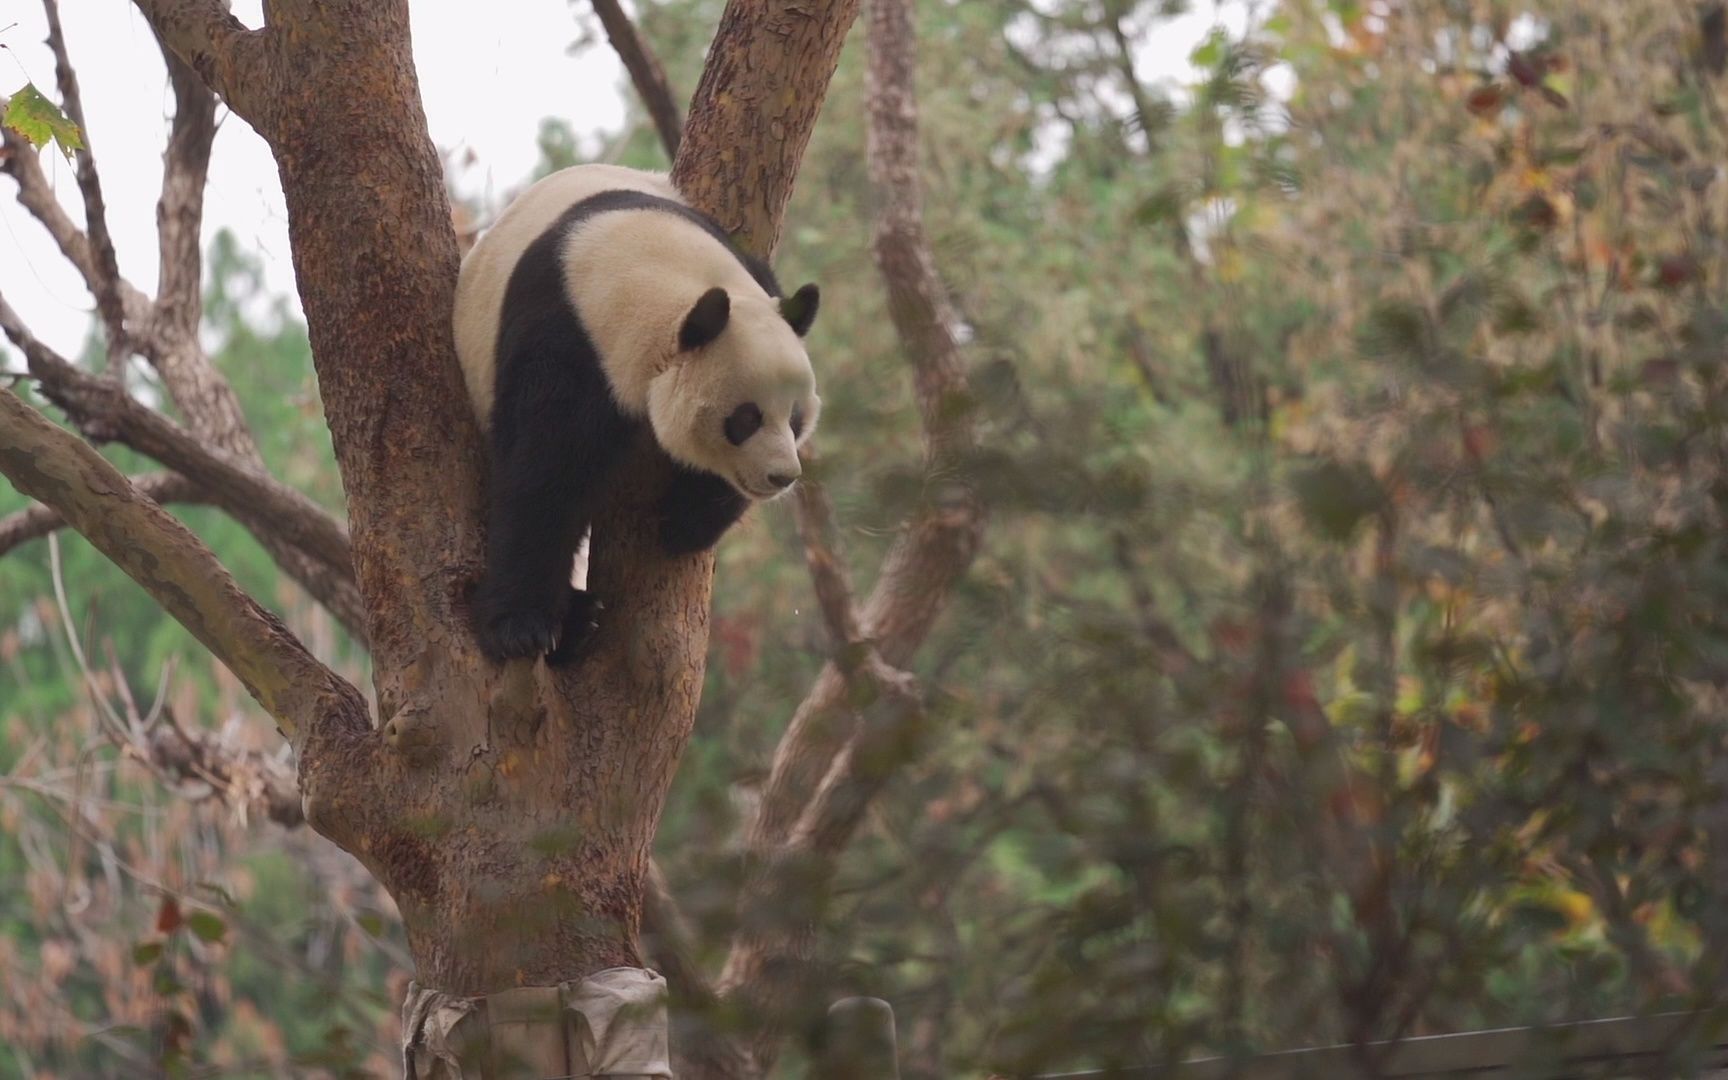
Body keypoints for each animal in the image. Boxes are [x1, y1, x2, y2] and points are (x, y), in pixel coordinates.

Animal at [452, 163, 815, 660]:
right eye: (746, 419)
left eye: (794, 417)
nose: (782, 476)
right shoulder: (567, 340)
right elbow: (542, 477)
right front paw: (520, 628)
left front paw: (687, 521)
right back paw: (579, 620)